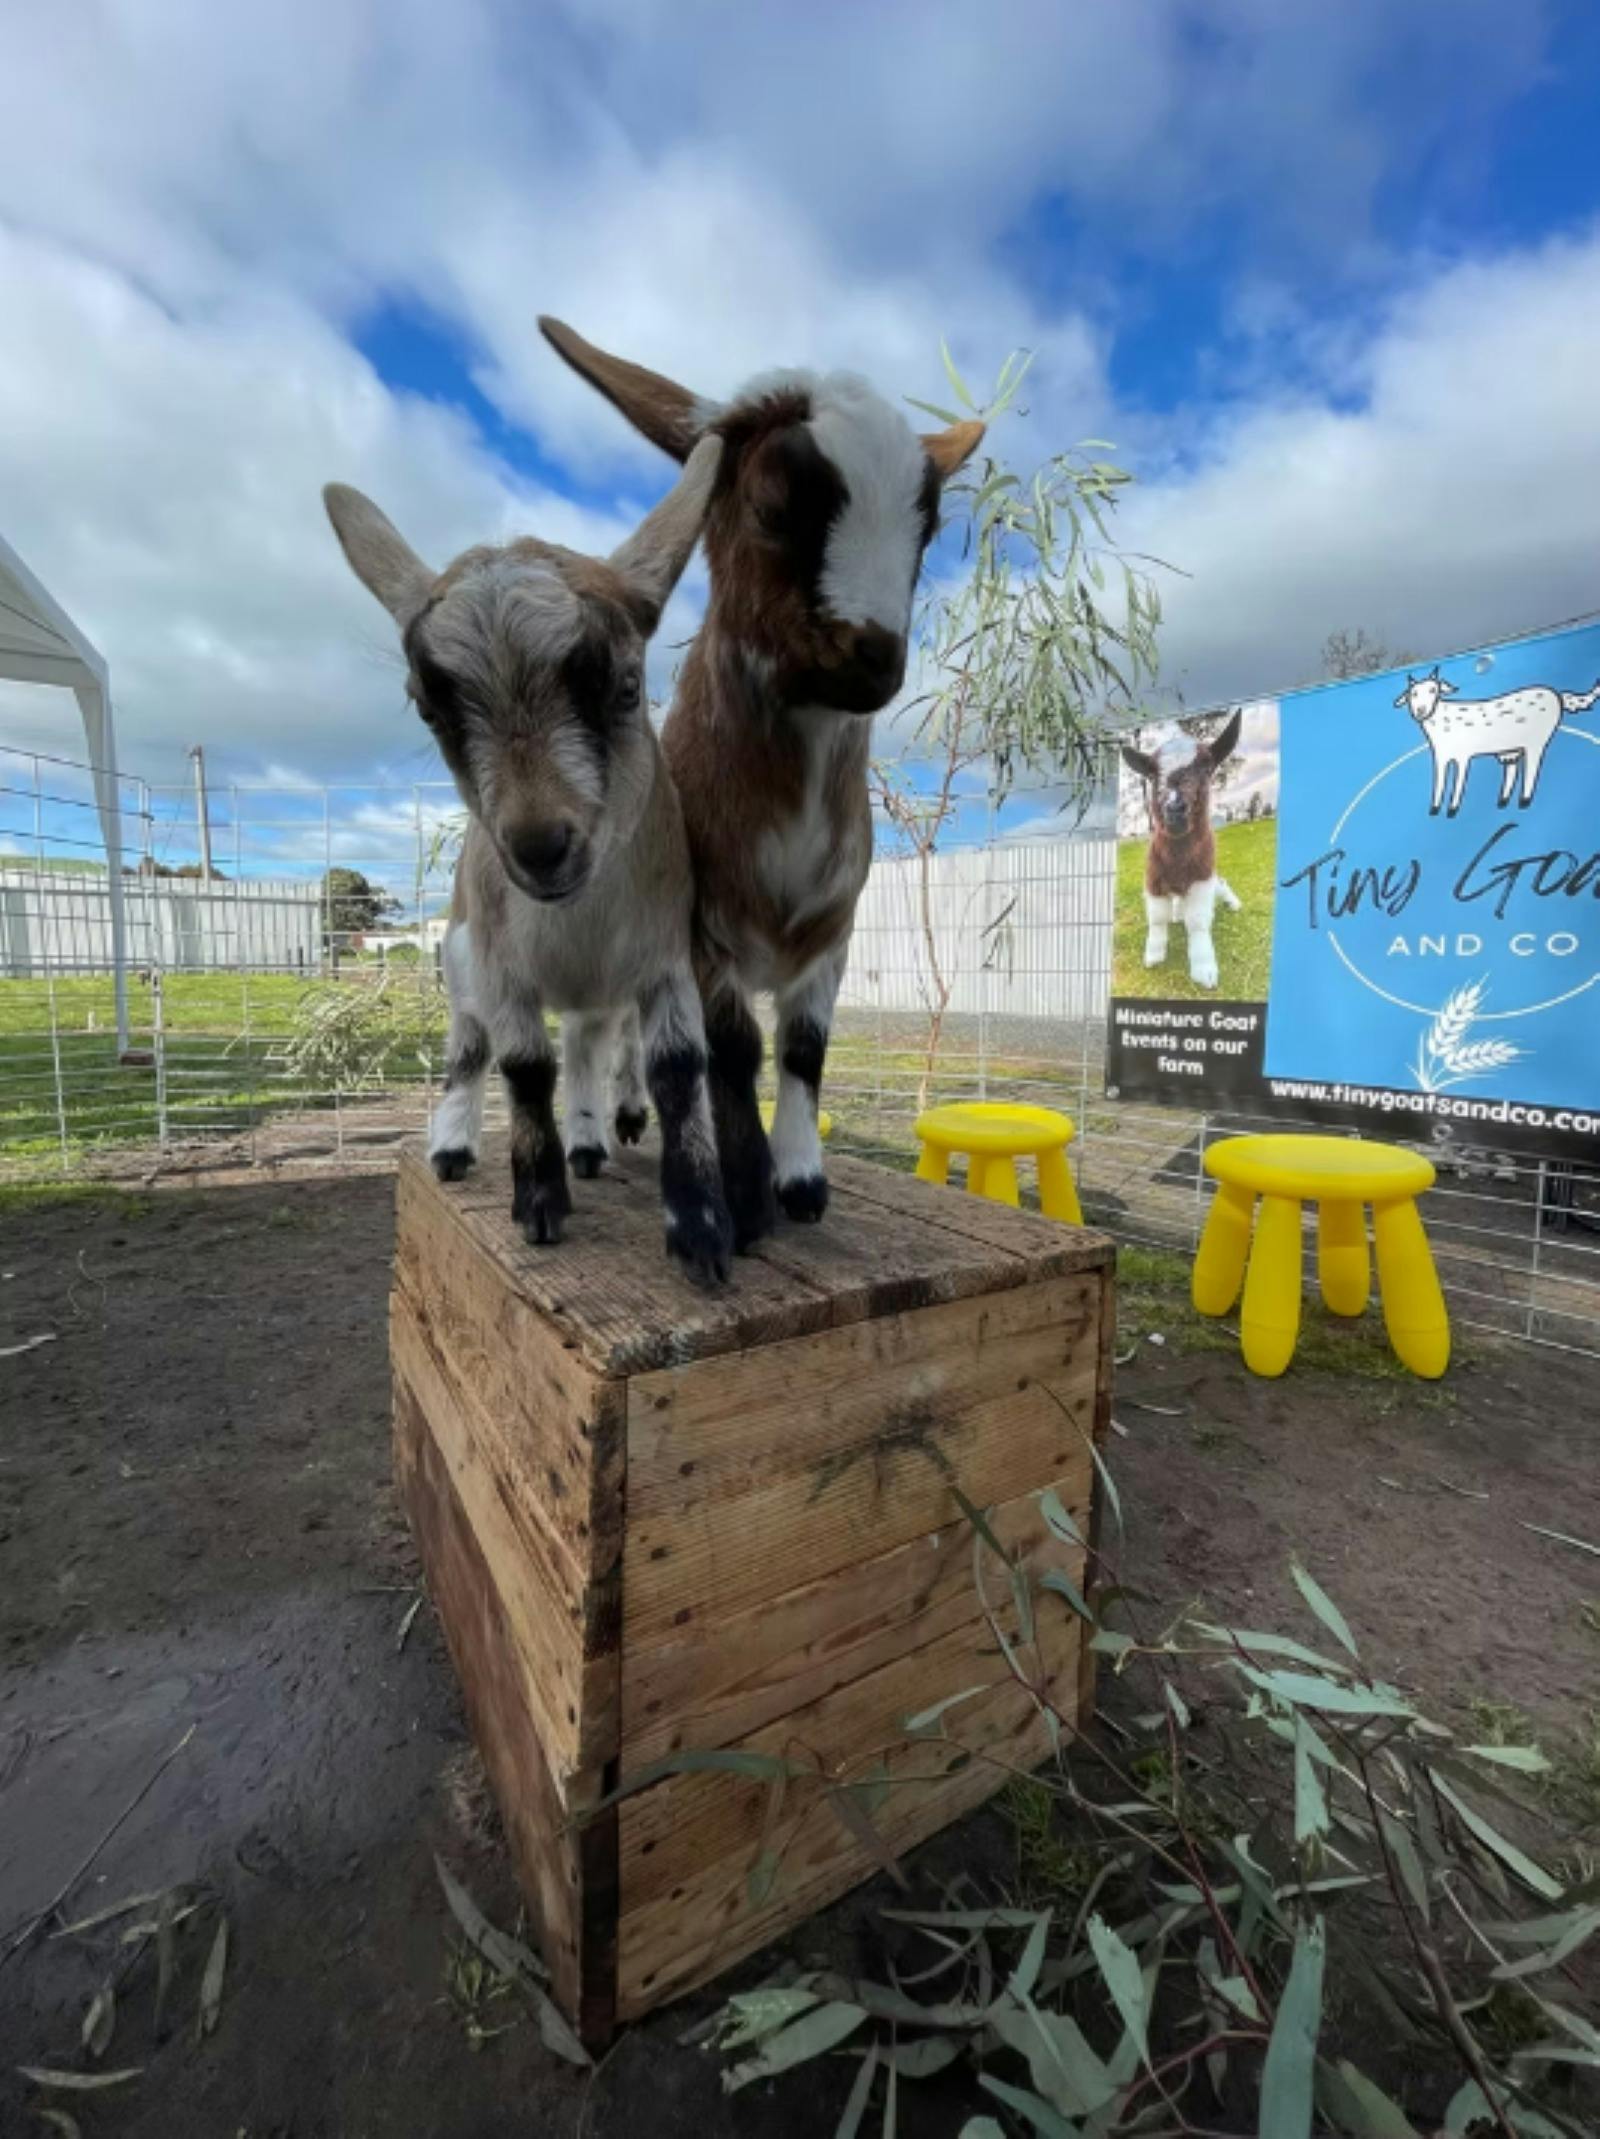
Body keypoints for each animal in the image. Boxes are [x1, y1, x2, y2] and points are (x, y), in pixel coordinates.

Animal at [322, 440, 735, 1287]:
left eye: (627, 685)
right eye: (429, 707)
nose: (542, 846)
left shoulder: (665, 955)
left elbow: (677, 1068)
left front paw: (701, 1230)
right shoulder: (501, 963)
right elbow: (521, 1067)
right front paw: (539, 1203)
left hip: (593, 992)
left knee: (585, 1046)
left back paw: (591, 1135)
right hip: (459, 961)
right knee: (470, 1048)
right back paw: (455, 1146)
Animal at [539, 318, 984, 1248]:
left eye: (927, 525)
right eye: (773, 503)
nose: (874, 656)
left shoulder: (834, 931)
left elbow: (805, 1050)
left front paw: (803, 1184)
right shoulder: (700, 931)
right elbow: (733, 1048)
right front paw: (743, 1202)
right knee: (593, 1034)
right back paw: (593, 1139)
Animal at [1120, 712, 1243, 990]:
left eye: (1207, 767)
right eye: (1152, 774)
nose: (1174, 809)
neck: (1177, 858)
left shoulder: (1202, 877)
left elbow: (1197, 922)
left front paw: (1204, 969)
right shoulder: (1153, 878)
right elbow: (1157, 918)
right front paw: (1153, 956)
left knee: (1222, 883)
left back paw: (1233, 903)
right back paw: (1177, 913)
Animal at [1394, 664, 1600, 817]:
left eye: (1433, 690)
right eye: (1413, 693)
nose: (1420, 711)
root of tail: (1557, 695)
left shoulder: (1463, 756)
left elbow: (1458, 782)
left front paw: (1452, 810)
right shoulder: (1440, 756)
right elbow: (1439, 783)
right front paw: (1435, 809)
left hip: (1536, 742)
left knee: (1531, 770)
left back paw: (1524, 801)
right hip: (1511, 751)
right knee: (1512, 770)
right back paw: (1503, 802)